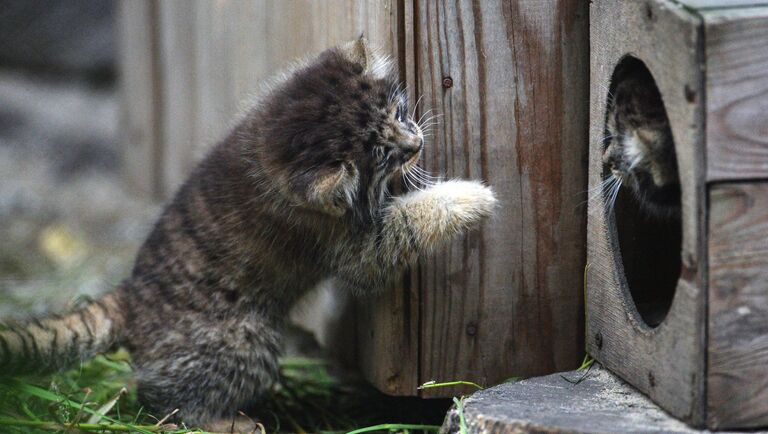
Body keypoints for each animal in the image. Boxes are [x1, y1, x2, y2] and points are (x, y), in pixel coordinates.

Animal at [0, 38, 496, 430]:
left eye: (397, 112)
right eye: (380, 154)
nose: (417, 144)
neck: (269, 147)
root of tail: (129, 297)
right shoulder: (351, 247)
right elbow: (406, 224)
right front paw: (473, 196)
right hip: (243, 339)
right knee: (165, 401)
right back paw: (228, 422)